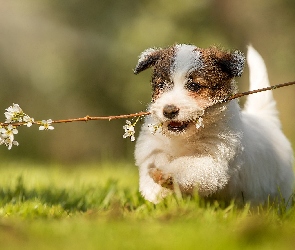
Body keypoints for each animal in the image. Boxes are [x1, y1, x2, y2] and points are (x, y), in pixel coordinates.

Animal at [135, 44, 295, 206]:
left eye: (194, 86)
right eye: (161, 85)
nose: (168, 110)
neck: (186, 137)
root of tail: (266, 119)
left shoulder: (213, 161)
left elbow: (186, 166)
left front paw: (167, 173)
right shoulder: (153, 145)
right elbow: (153, 160)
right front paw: (154, 191)